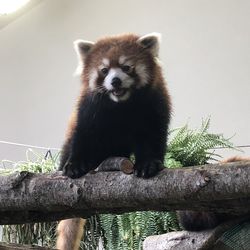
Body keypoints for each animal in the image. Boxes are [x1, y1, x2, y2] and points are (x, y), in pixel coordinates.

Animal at [57, 33, 172, 250]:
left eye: (126, 67)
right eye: (104, 70)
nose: (116, 81)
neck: (121, 105)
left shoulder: (154, 105)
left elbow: (152, 136)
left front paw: (148, 164)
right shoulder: (89, 110)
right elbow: (83, 135)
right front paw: (75, 165)